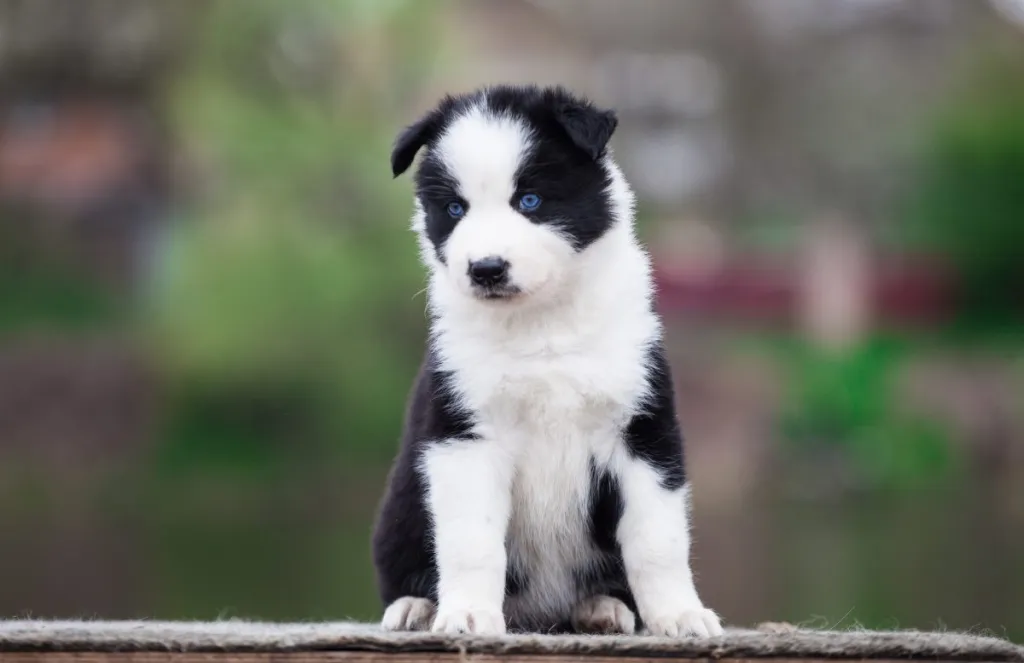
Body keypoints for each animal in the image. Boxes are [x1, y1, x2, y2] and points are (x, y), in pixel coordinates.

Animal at [370, 84, 720, 639]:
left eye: (529, 201)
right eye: (455, 208)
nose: (486, 269)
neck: (541, 325)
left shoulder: (642, 429)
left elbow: (656, 539)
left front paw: (680, 615)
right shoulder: (465, 436)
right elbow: (472, 540)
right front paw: (468, 614)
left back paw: (601, 608)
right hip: (401, 513)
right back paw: (415, 607)